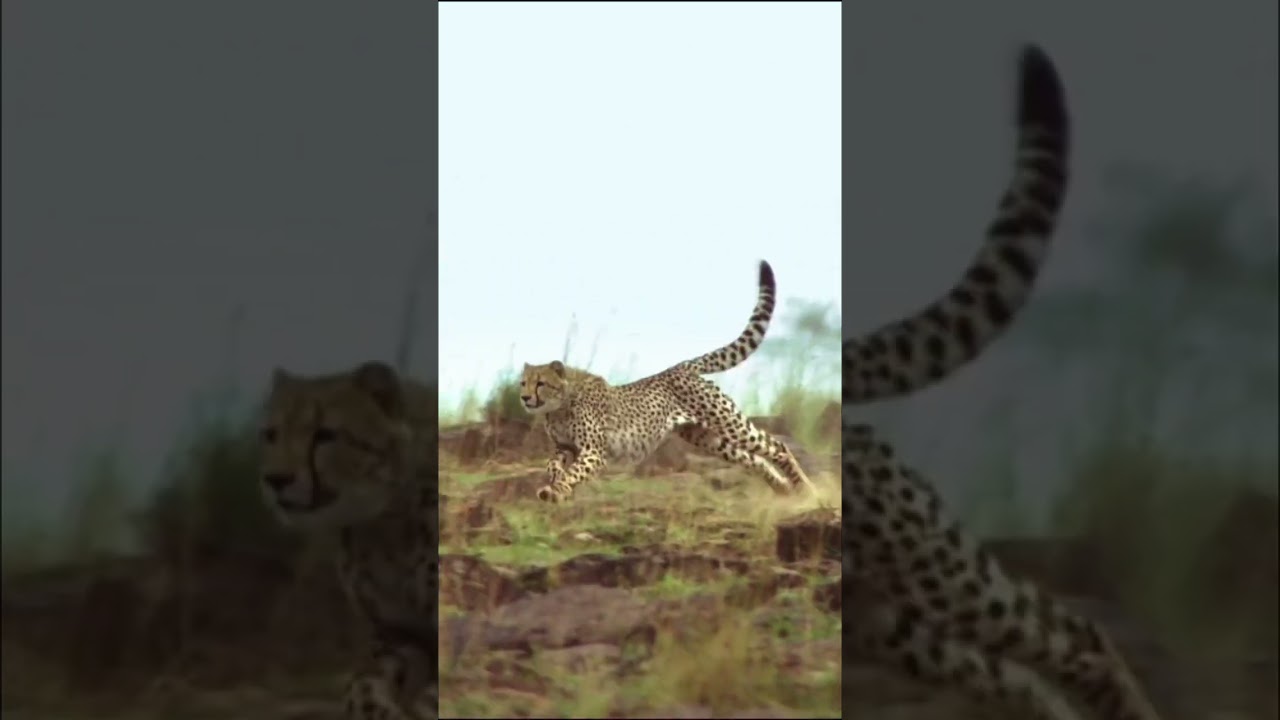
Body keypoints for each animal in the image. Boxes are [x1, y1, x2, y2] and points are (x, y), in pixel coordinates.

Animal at [519, 260, 818, 502]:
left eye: (540, 383)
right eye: (523, 383)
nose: (524, 398)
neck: (559, 406)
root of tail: (681, 366)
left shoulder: (594, 450)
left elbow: (576, 471)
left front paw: (558, 489)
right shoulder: (565, 447)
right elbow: (552, 464)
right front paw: (555, 483)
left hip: (728, 423)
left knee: (776, 446)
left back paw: (806, 488)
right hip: (707, 437)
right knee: (753, 459)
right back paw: (783, 488)